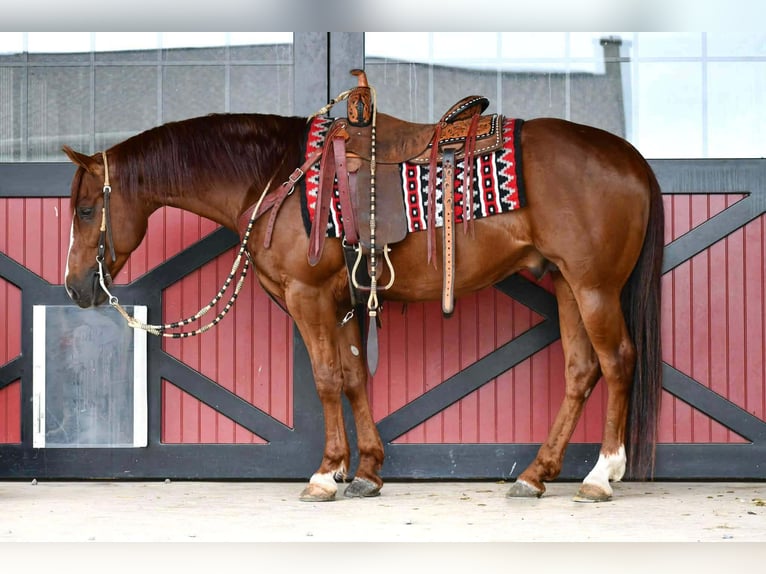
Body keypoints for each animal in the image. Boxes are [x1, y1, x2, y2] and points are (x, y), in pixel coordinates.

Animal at [62, 81, 664, 503]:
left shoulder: (307, 296)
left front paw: (325, 474)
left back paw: (602, 475)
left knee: (617, 361)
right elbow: (353, 379)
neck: (276, 175)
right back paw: (536, 476)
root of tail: (631, 158)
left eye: (87, 210)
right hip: (566, 283)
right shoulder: (342, 302)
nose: (74, 286)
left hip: (594, 287)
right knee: (581, 371)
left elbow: (327, 379)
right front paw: (366, 472)